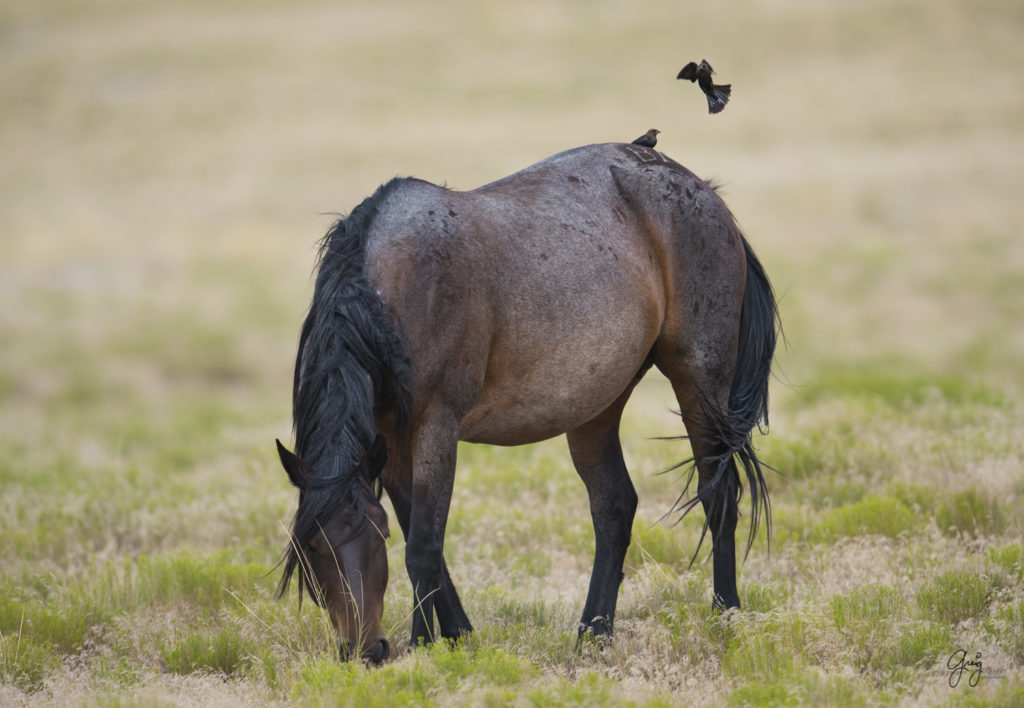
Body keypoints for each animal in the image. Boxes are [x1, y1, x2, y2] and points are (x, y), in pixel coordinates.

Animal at [276, 142, 778, 663]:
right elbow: (422, 535)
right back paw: (593, 634)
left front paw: (424, 646)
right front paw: (458, 636)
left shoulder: (436, 426)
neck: (385, 299)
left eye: (377, 535)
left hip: (699, 380)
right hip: (595, 407)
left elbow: (423, 548)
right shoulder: (389, 443)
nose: (367, 651)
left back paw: (725, 615)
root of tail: (701, 189)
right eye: (311, 550)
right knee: (614, 507)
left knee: (718, 494)